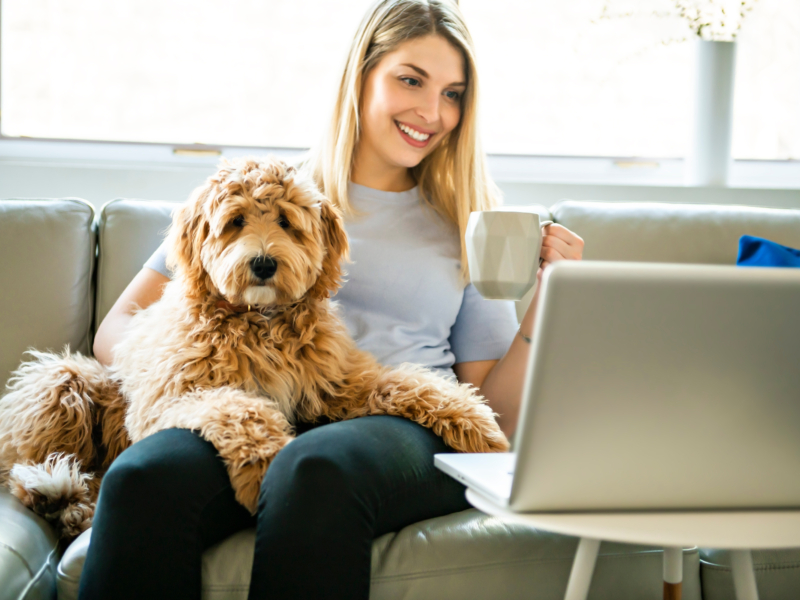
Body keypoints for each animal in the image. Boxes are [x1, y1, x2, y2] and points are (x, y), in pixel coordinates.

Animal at [0, 156, 510, 540]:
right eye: (235, 222)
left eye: (286, 221)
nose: (263, 263)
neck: (262, 323)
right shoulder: (172, 396)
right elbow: (241, 408)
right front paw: (267, 468)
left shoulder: (339, 382)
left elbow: (405, 380)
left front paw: (474, 421)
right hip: (64, 383)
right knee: (20, 467)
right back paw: (52, 492)